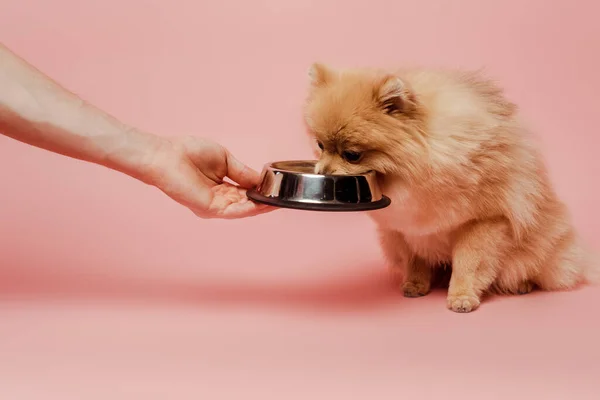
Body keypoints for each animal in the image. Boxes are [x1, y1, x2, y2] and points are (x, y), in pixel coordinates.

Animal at [304, 62, 596, 312]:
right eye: (320, 145)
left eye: (352, 155)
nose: (321, 171)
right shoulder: (405, 229)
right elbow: (415, 261)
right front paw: (416, 284)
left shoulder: (484, 221)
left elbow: (468, 263)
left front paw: (462, 296)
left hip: (541, 247)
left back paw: (523, 284)